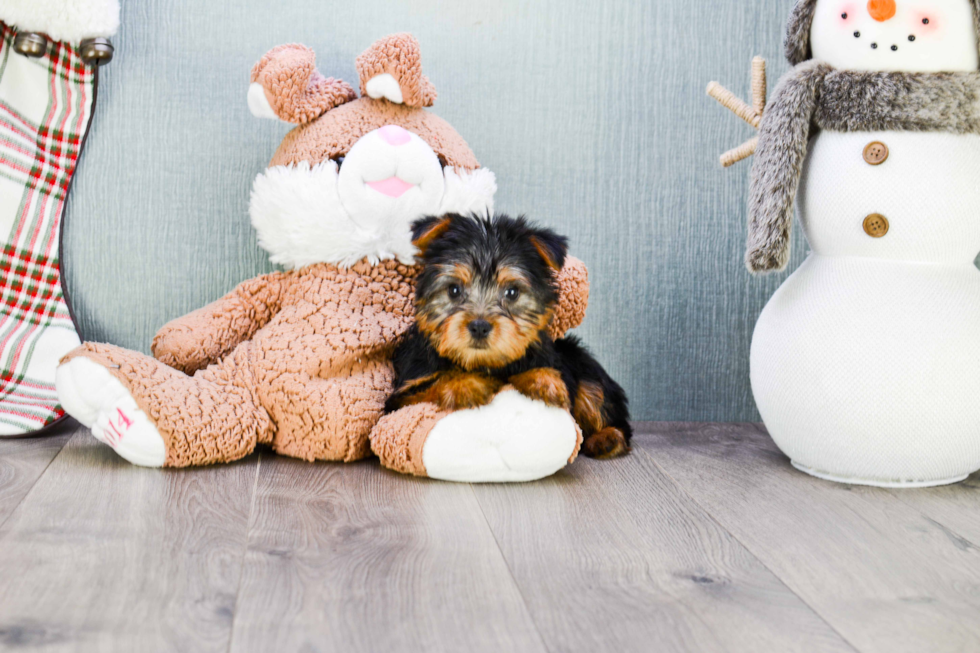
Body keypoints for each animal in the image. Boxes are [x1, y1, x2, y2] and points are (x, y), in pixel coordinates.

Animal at [386, 214, 632, 458]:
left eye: (512, 292)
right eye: (453, 290)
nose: (479, 326)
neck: (485, 363)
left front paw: (543, 379)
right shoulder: (403, 395)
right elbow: (429, 385)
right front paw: (464, 384)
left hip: (584, 366)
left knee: (597, 396)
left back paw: (607, 438)